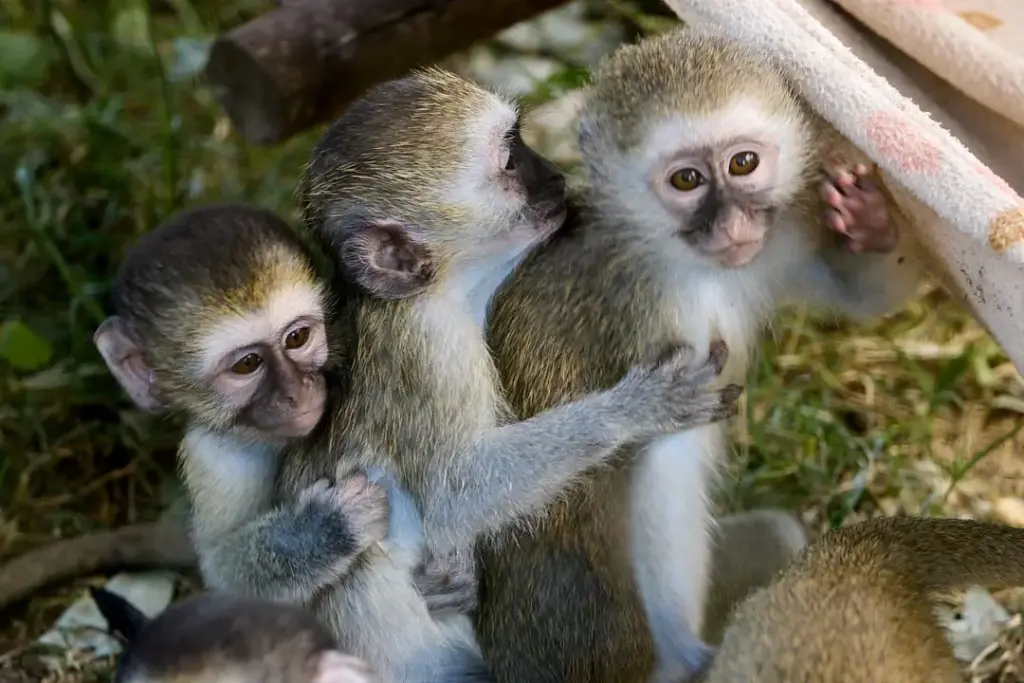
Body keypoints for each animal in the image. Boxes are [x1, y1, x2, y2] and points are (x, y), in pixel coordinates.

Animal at [266, 66, 743, 683]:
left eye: (521, 141)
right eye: (511, 161)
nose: (557, 175)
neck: (443, 290)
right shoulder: (432, 349)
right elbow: (454, 491)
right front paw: (637, 409)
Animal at [475, 27, 924, 683]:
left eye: (743, 164)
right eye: (686, 181)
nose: (732, 224)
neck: (679, 260)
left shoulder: (780, 235)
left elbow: (864, 297)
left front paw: (869, 222)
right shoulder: (659, 321)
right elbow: (668, 458)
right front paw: (692, 652)